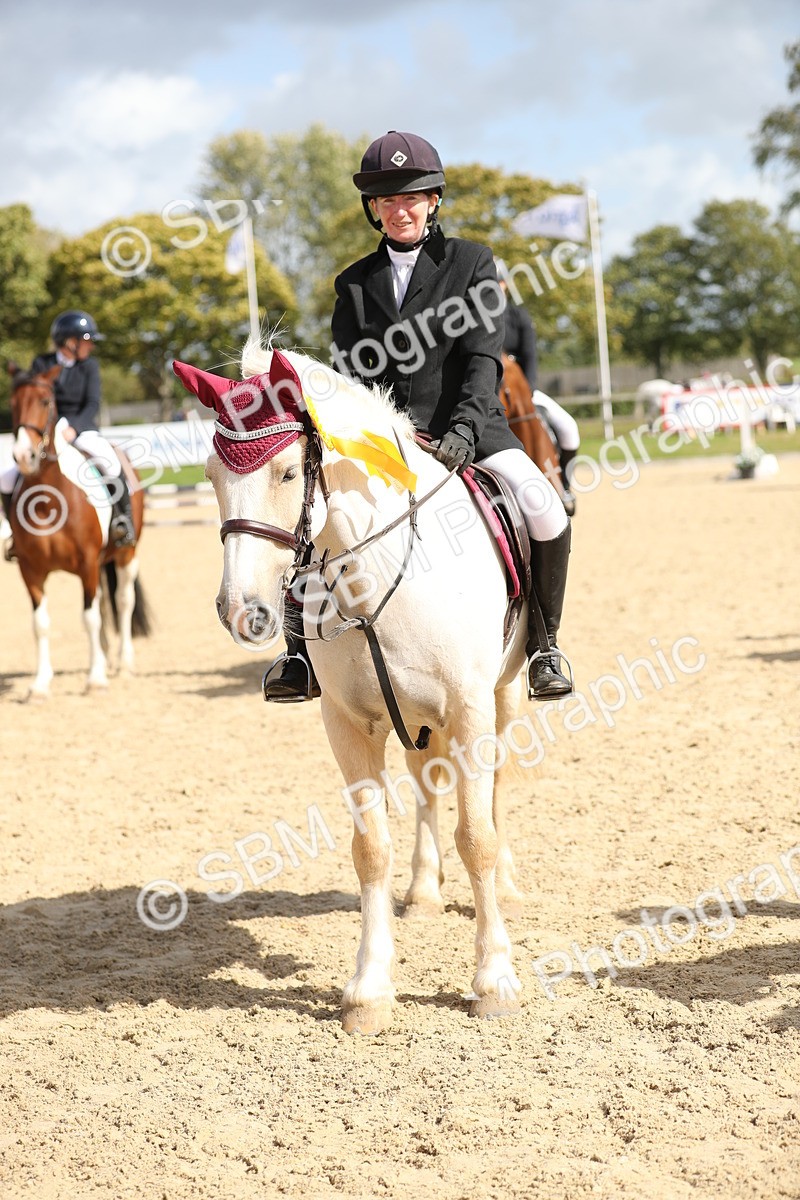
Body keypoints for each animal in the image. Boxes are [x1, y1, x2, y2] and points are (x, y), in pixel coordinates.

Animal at [7, 364, 150, 697]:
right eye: (12, 403)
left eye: (45, 401)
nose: (23, 457)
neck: (47, 502)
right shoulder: (30, 571)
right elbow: (41, 624)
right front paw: (40, 684)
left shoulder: (87, 564)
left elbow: (90, 618)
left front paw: (95, 680)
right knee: (103, 603)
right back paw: (106, 657)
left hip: (126, 554)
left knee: (123, 602)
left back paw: (124, 663)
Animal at [176, 340, 529, 1035]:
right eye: (210, 475)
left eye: (289, 473)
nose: (240, 610)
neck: (377, 578)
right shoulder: (348, 723)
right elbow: (370, 848)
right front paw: (369, 989)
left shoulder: (470, 708)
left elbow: (476, 836)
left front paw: (494, 980)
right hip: (415, 718)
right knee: (427, 784)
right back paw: (422, 892)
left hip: (504, 693)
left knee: (495, 790)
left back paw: (502, 882)